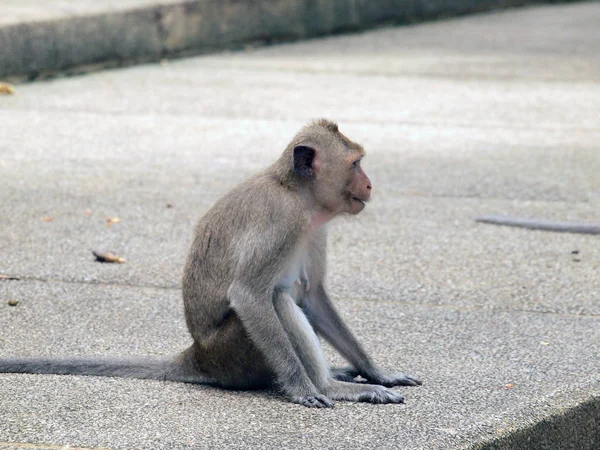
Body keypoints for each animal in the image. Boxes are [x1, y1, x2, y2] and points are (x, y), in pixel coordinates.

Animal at [0, 119, 422, 408]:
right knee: (278, 300)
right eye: (355, 164)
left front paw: (378, 372)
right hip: (233, 352)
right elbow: (250, 296)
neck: (296, 194)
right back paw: (328, 384)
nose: (369, 184)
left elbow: (314, 296)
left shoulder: (315, 230)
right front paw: (306, 389)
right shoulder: (283, 223)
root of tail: (199, 355)